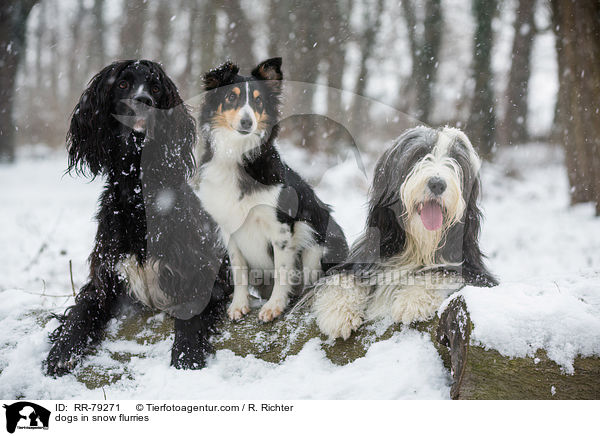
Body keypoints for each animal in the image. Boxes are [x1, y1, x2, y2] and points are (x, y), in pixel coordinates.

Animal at [44, 59, 231, 376]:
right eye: (122, 84)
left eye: (155, 88)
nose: (144, 100)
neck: (137, 194)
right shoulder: (103, 280)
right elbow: (81, 312)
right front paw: (62, 351)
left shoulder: (201, 275)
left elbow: (191, 315)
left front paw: (186, 354)